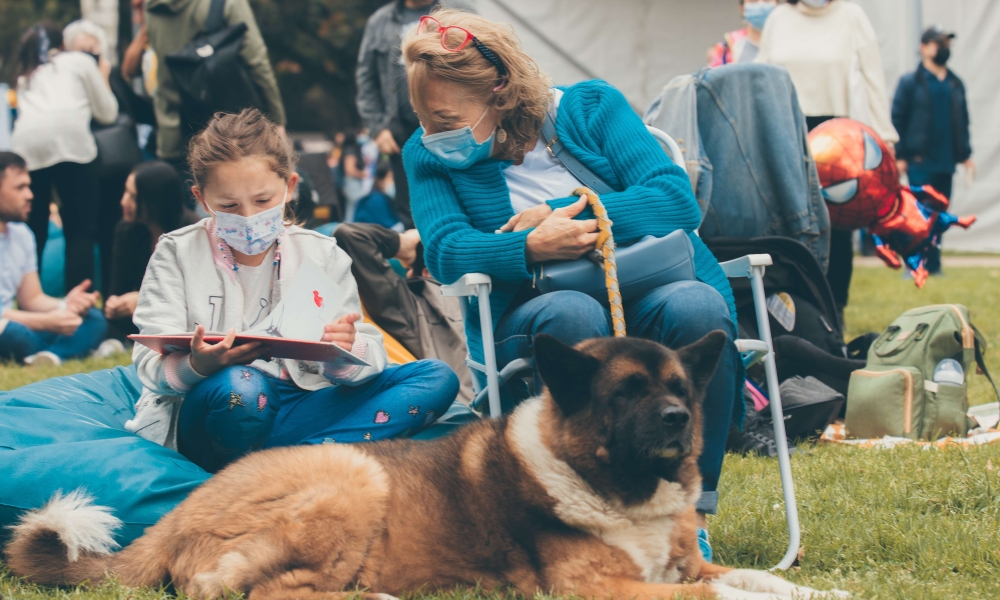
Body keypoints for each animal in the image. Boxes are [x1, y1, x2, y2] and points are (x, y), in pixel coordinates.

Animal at [3, 332, 848, 600]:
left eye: (677, 390)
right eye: (626, 395)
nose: (679, 423)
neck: (620, 490)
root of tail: (181, 508)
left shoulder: (687, 565)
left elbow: (762, 579)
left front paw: (821, 589)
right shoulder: (602, 589)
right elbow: (723, 596)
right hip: (355, 475)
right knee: (247, 591)